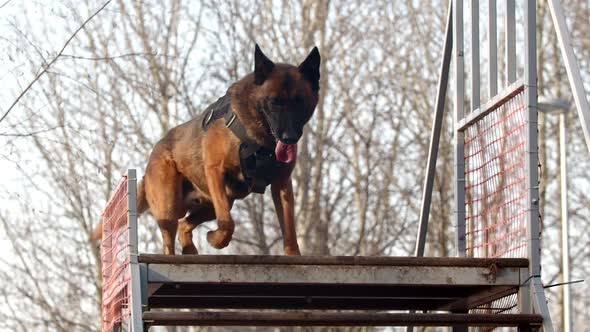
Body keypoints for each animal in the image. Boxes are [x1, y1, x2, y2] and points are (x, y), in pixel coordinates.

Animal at [92, 44, 322, 256]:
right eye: (275, 102)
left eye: (300, 102)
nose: (289, 137)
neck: (260, 140)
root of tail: (155, 151)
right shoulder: (215, 172)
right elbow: (228, 223)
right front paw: (216, 240)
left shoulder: (282, 184)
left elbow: (289, 229)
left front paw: (293, 255)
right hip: (170, 207)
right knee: (170, 239)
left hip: (212, 205)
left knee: (184, 224)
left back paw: (190, 249)